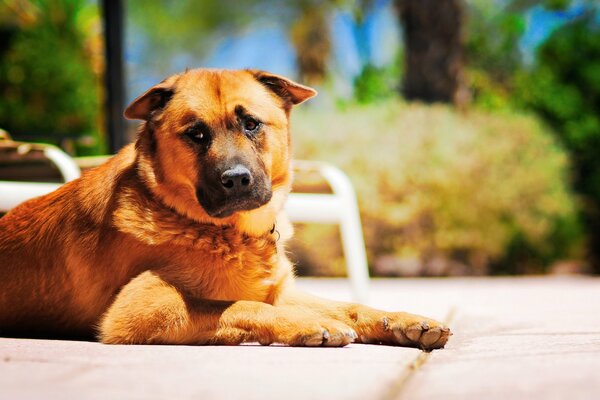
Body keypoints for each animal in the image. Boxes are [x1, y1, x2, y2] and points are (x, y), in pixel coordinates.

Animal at [0, 69, 450, 350]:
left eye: (251, 123)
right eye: (196, 134)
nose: (236, 180)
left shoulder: (282, 290)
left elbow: (352, 305)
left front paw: (403, 321)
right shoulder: (138, 309)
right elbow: (240, 305)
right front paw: (307, 325)